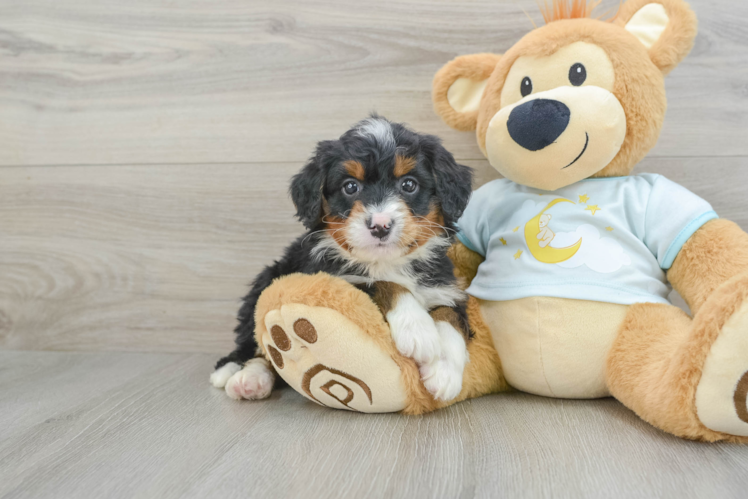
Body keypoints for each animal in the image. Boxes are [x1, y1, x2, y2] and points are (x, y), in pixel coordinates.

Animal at [207, 116, 474, 402]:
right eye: (350, 187)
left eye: (409, 184)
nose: (380, 225)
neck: (387, 263)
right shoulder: (334, 281)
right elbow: (384, 284)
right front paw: (418, 330)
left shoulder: (445, 287)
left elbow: (451, 316)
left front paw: (444, 371)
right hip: (267, 280)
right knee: (256, 345)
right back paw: (244, 376)